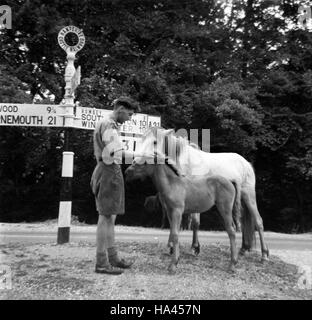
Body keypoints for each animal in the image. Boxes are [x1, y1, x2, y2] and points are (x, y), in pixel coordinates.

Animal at [137, 126, 270, 262]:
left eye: (154, 142)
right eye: (141, 139)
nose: (137, 160)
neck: (186, 162)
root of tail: (246, 163)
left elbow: (195, 222)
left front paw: (194, 247)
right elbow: (174, 223)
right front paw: (171, 248)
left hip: (249, 195)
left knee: (258, 221)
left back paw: (264, 255)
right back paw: (243, 249)